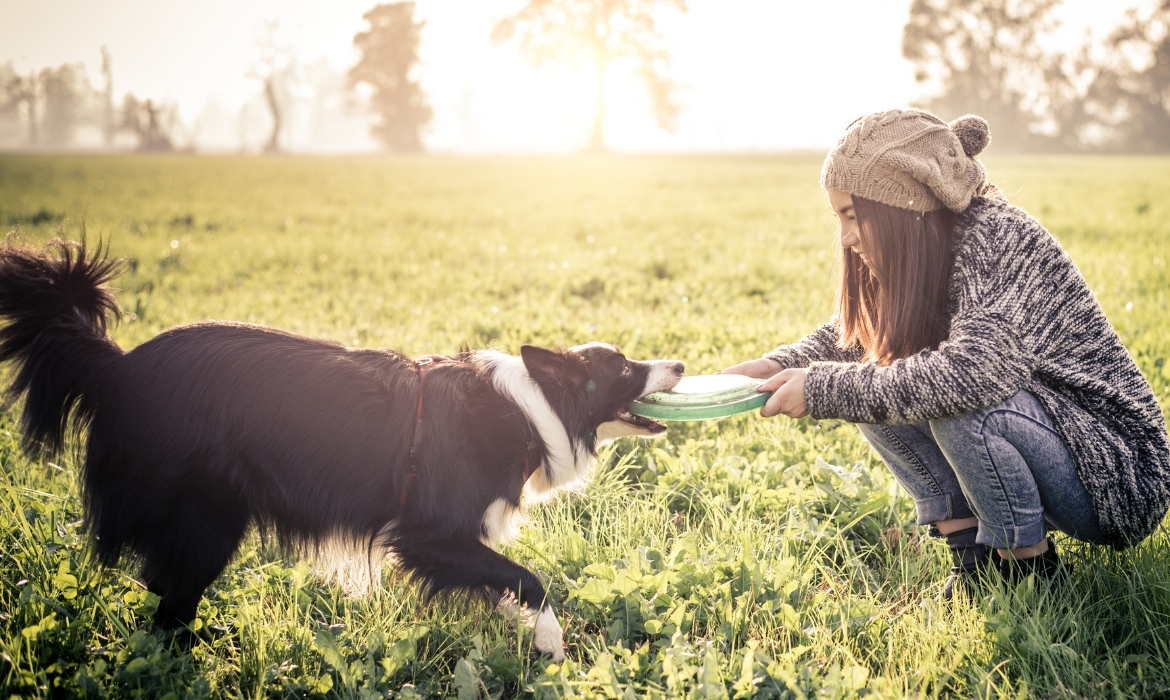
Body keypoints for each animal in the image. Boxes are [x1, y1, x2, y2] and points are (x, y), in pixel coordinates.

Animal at [0, 239, 683, 660]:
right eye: (624, 368)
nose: (676, 364)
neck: (531, 406)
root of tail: (117, 368)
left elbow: (504, 582)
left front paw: (529, 637)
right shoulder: (429, 535)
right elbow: (529, 579)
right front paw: (551, 641)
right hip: (208, 520)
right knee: (170, 608)